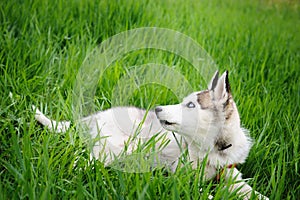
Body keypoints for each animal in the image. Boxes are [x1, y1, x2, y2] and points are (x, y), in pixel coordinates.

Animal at [34, 71, 268, 199]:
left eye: (191, 105)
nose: (157, 109)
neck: (213, 150)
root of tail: (96, 116)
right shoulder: (183, 177)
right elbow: (205, 194)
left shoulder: (232, 174)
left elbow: (253, 193)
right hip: (119, 146)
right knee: (83, 160)